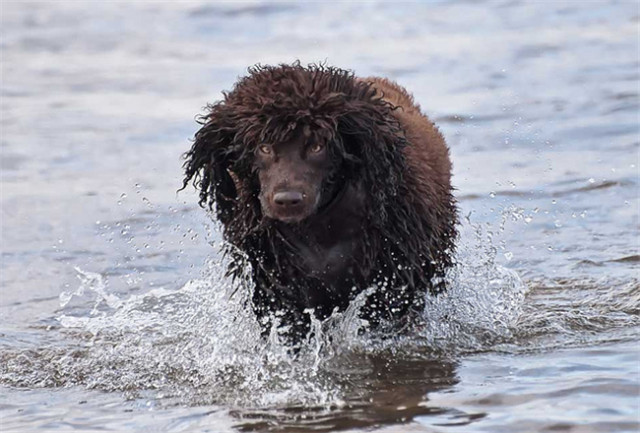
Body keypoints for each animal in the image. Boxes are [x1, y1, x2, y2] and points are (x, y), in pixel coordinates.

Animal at [183, 63, 457, 341]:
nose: (287, 200)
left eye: (317, 146)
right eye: (263, 147)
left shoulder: (394, 283)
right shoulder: (275, 291)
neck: (319, 227)